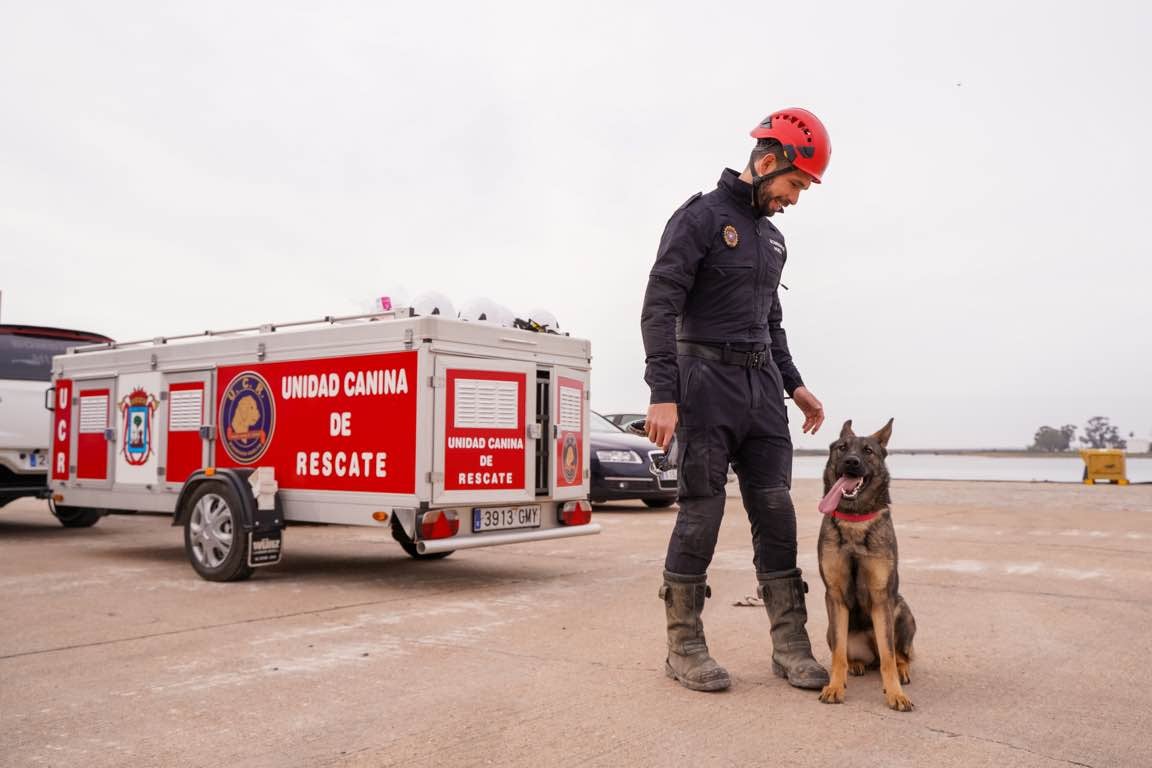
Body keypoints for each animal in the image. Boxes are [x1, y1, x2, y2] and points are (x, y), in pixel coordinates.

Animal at [820, 416, 916, 713]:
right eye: (842, 447)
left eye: (868, 451)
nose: (851, 462)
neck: (855, 521)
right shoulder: (835, 597)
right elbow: (838, 655)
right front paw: (835, 686)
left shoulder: (882, 598)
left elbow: (888, 655)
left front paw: (895, 694)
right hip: (830, 629)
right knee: (848, 652)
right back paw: (856, 665)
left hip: (901, 611)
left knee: (897, 654)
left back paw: (903, 669)